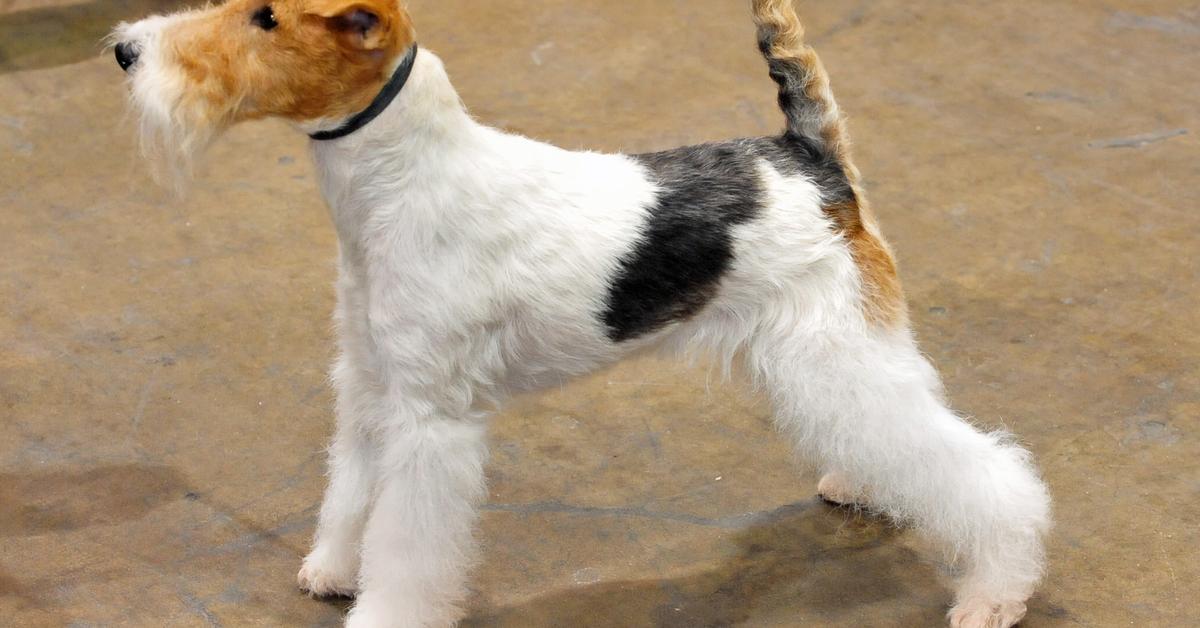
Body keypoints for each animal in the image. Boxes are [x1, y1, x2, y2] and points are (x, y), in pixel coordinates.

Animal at [112, 2, 1051, 624]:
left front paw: (381, 610)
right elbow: (351, 494)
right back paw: (861, 481)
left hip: (835, 346)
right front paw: (333, 569)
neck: (404, 181)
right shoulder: (373, 383)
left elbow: (408, 546)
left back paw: (994, 591)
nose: (123, 48)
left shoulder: (431, 420)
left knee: (986, 472)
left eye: (266, 18)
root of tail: (806, 154)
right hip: (825, 354)